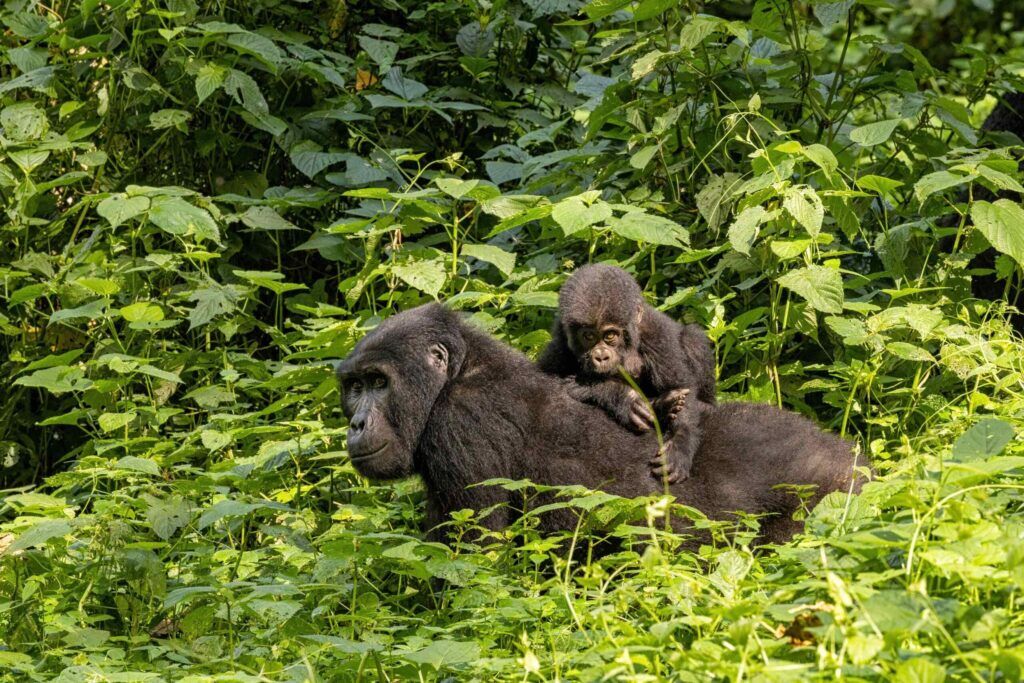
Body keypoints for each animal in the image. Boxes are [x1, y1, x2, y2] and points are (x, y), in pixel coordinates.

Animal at [337, 305, 864, 544]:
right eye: (354, 386)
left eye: (379, 383)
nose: (357, 424)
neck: (458, 373)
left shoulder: (459, 425)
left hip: (829, 490)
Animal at [540, 264, 716, 483]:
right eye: (588, 336)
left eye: (610, 335)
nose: (601, 357)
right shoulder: (560, 344)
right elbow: (551, 384)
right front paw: (623, 398)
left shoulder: (656, 333)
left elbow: (680, 387)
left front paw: (680, 445)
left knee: (692, 339)